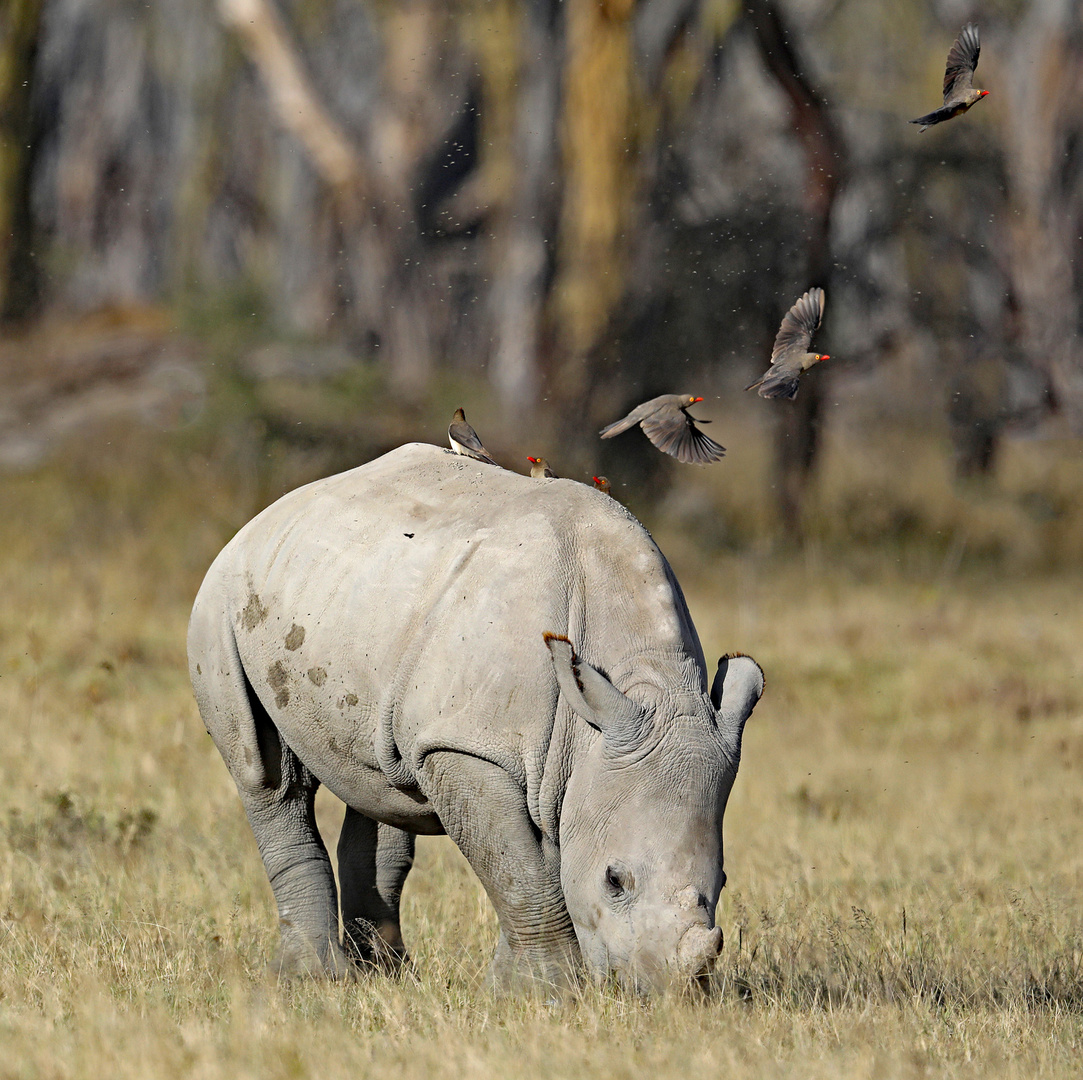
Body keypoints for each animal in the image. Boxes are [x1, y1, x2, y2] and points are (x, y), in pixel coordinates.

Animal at [186, 439, 762, 996]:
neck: (651, 686)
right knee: (268, 777)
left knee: (381, 778)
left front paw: (506, 991)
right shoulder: (468, 744)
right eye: (614, 881)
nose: (670, 995)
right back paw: (313, 980)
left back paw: (384, 976)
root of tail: (268, 516)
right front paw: (546, 995)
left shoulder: (568, 758)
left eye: (724, 882)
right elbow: (518, 870)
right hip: (221, 600)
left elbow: (530, 867)